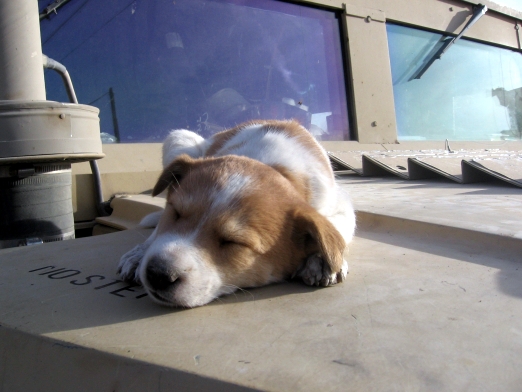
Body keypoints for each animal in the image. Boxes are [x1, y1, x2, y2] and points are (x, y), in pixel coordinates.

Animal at [117, 119, 354, 306]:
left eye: (232, 242)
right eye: (176, 213)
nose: (158, 274)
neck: (270, 163)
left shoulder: (342, 205)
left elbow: (335, 229)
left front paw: (322, 260)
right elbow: (159, 230)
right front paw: (139, 254)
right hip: (178, 138)